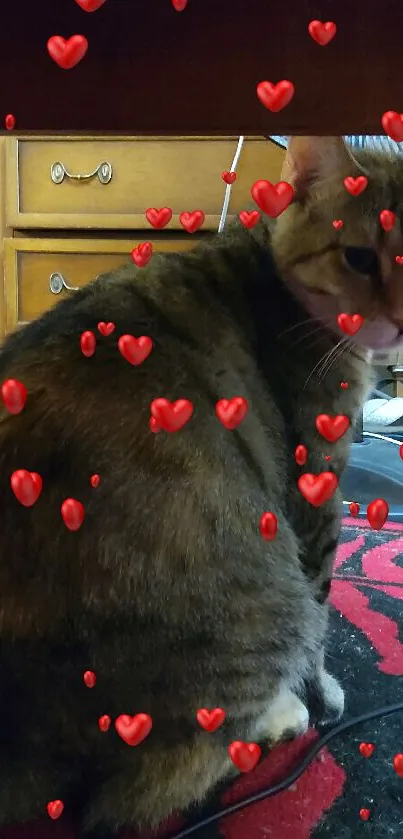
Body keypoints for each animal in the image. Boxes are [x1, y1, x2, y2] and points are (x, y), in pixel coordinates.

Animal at [0, 135, 400, 836]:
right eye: (359, 255)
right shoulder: (316, 485)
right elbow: (323, 615)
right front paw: (321, 694)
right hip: (260, 605)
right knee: (151, 785)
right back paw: (278, 718)